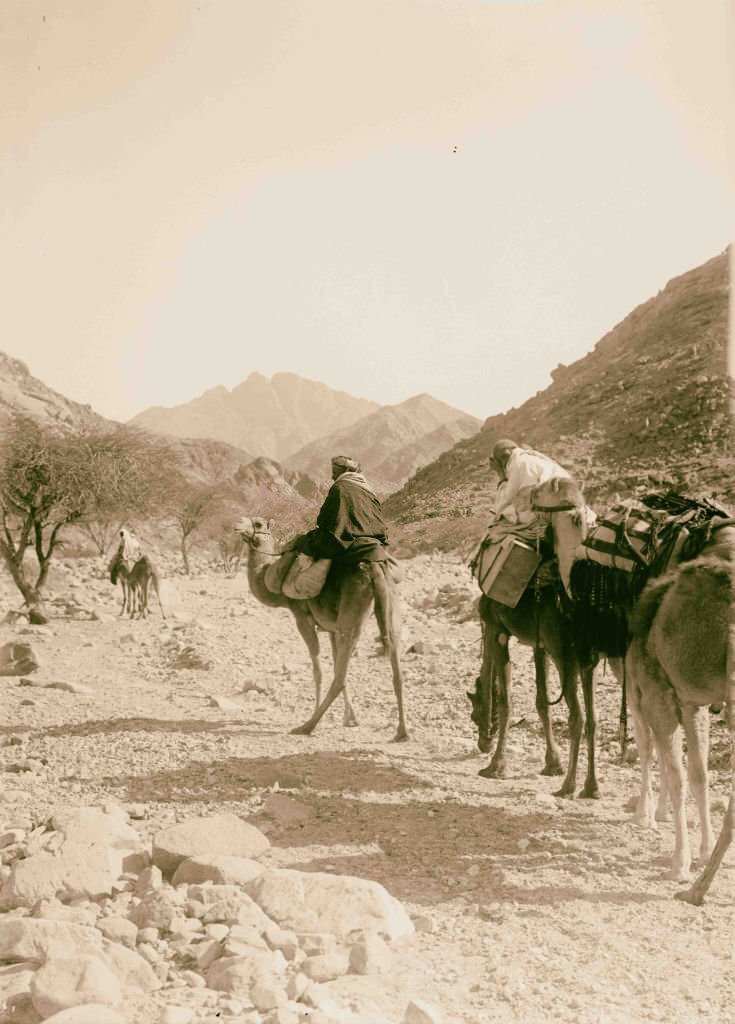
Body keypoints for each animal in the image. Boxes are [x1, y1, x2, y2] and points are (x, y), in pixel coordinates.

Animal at [236, 516, 409, 741]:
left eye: (257, 524)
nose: (237, 525)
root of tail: (375, 569)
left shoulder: (301, 616)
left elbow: (318, 671)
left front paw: (324, 714)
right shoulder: (331, 628)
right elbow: (334, 664)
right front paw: (350, 718)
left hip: (352, 613)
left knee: (340, 677)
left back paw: (307, 726)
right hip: (389, 605)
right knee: (395, 667)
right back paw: (402, 731)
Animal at [626, 524, 735, 901]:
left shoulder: (655, 693)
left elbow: (677, 775)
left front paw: (680, 863)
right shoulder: (691, 702)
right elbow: (699, 775)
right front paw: (701, 851)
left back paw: (697, 890)